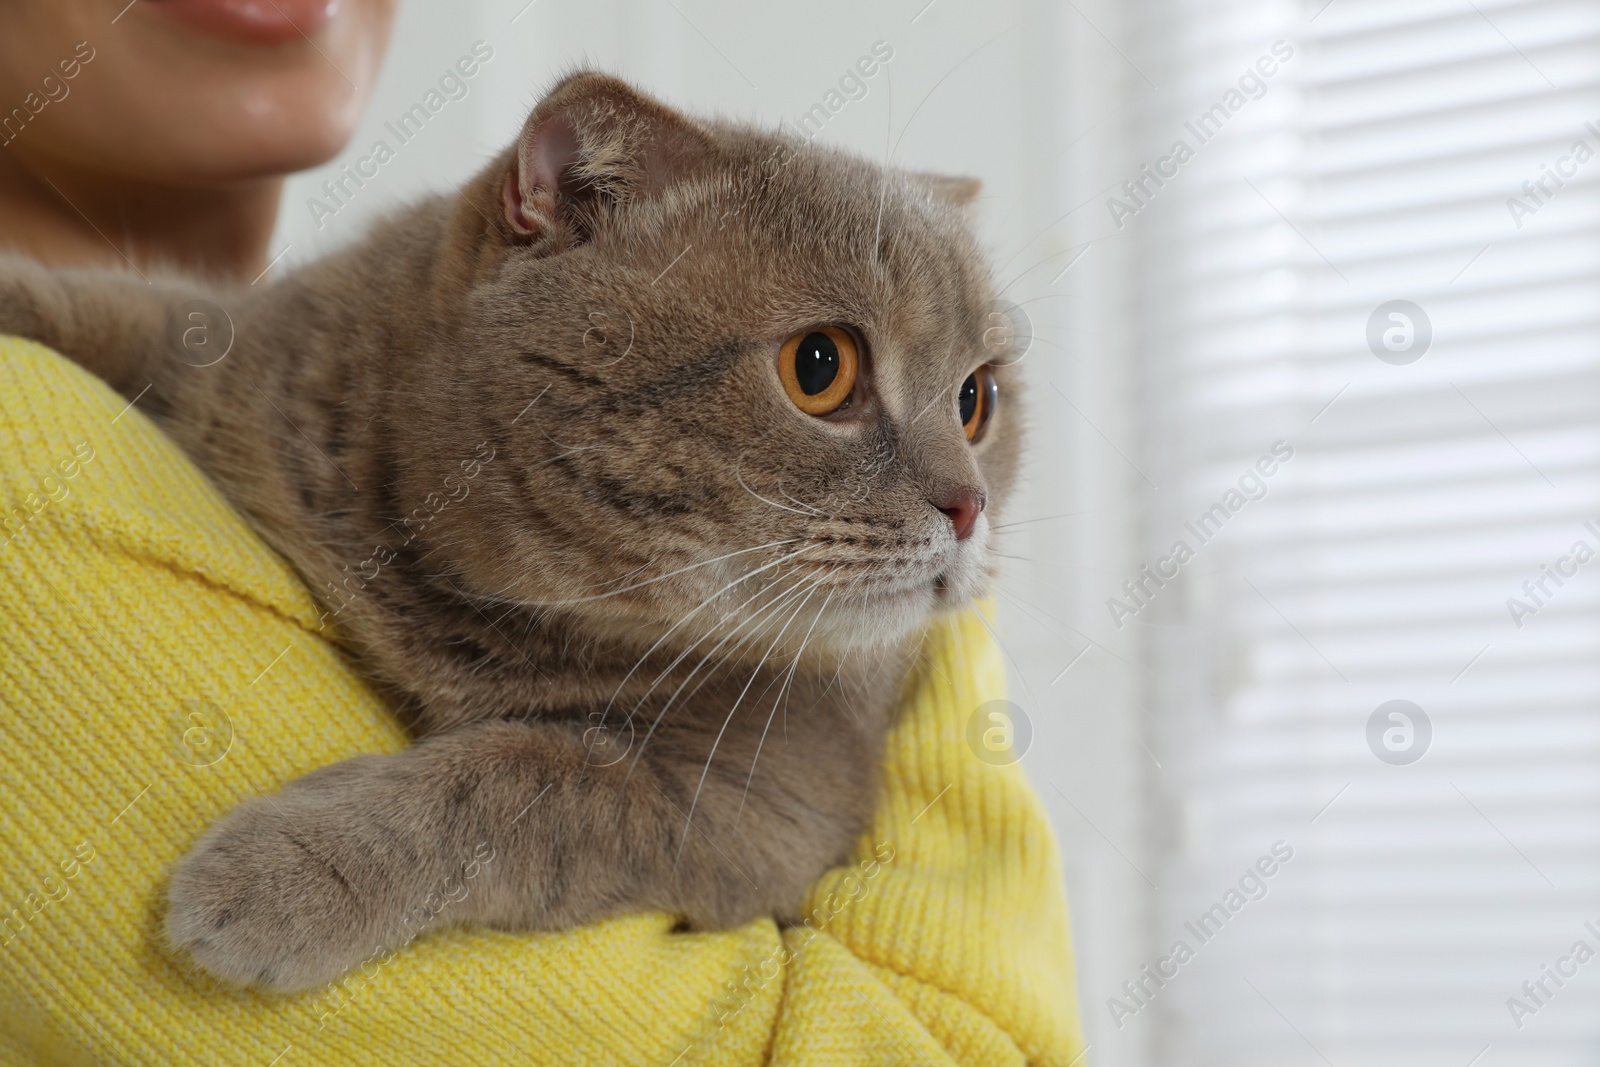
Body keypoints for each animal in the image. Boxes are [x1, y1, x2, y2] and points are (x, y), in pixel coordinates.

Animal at [0, 73, 1024, 991]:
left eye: (975, 399)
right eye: (821, 366)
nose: (968, 504)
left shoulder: (766, 802)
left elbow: (526, 776)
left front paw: (283, 876)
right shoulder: (238, 351)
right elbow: (133, 309)